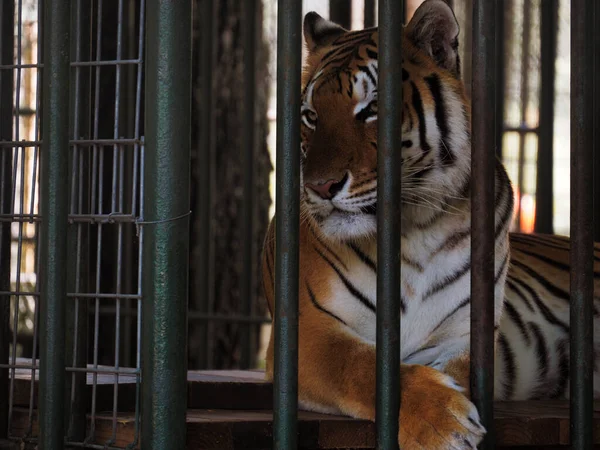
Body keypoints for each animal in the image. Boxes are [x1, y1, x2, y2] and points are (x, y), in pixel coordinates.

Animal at [262, 0, 600, 446]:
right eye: (311, 116)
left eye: (372, 110)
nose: (320, 186)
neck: (415, 229)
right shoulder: (306, 330)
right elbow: (363, 366)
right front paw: (443, 421)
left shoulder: (462, 334)